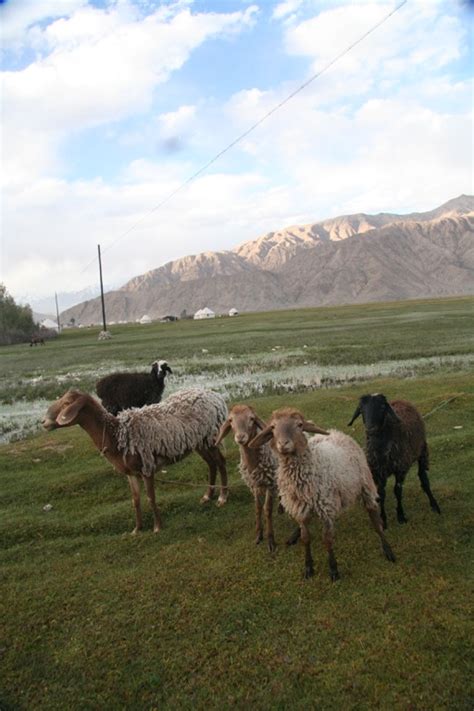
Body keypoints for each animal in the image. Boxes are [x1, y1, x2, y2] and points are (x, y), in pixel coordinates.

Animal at [41, 390, 231, 536]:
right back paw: (207, 495)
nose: (43, 422)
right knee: (211, 464)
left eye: (67, 403)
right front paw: (137, 529)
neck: (117, 434)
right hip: (199, 442)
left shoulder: (147, 468)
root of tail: (216, 396)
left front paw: (157, 527)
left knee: (221, 462)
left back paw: (222, 497)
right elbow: (136, 500)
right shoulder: (130, 473)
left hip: (210, 437)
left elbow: (151, 498)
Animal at [215, 406, 278, 552]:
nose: (240, 437)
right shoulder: (253, 485)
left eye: (252, 418)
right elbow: (258, 508)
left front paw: (270, 540)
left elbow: (267, 509)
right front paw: (258, 535)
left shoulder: (270, 483)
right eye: (230, 420)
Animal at [250, 408, 398, 580]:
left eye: (299, 425)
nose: (283, 444)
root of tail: (336, 432)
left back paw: (387, 549)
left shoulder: (325, 507)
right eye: (273, 427)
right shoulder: (302, 510)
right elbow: (306, 538)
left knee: (375, 519)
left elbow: (327, 540)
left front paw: (333, 569)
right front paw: (308, 566)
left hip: (366, 485)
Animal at [348, 394, 440, 528]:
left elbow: (397, 491)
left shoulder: (400, 469)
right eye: (361, 409)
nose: (371, 429)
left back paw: (434, 505)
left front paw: (401, 516)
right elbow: (381, 494)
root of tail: (401, 400)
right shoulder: (379, 472)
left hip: (422, 451)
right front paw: (383, 520)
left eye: (382, 407)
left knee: (423, 478)